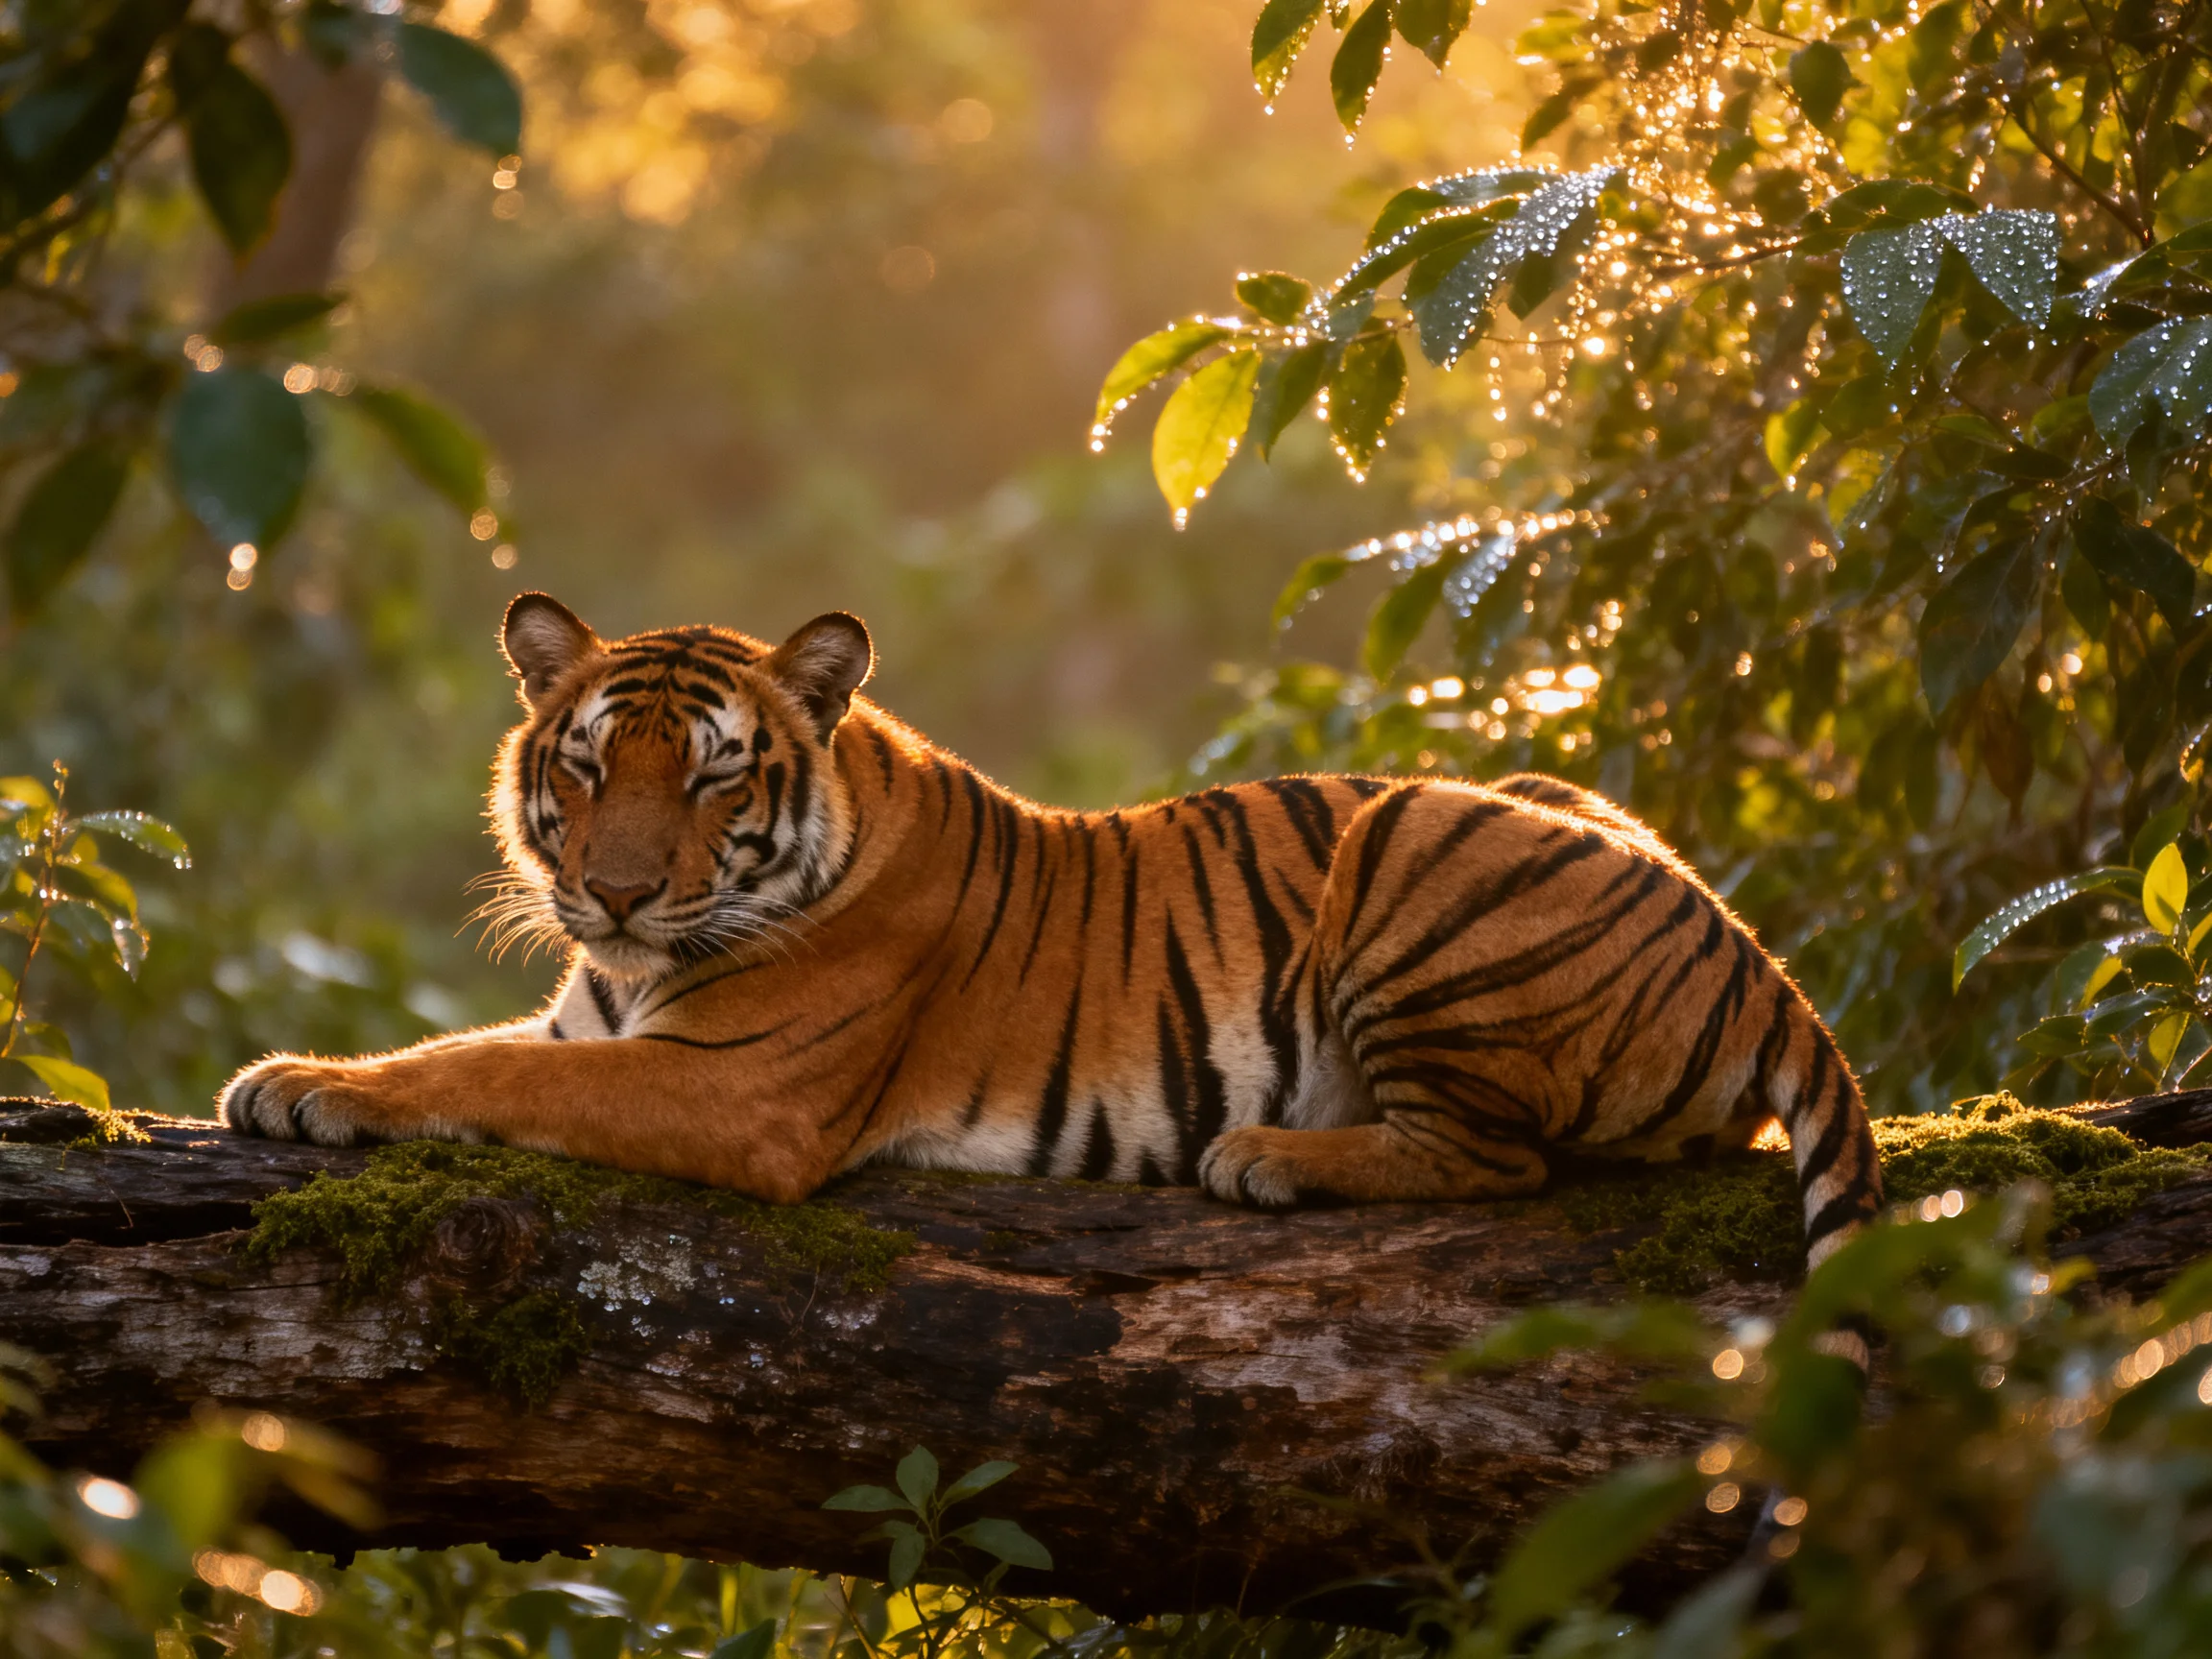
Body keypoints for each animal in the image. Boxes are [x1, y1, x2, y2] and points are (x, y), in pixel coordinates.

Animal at [221, 593, 1883, 1269]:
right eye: (584, 767)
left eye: (710, 775)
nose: (620, 894)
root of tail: (1762, 959)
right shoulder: (605, 1017)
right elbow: (471, 1043)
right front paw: (302, 1073)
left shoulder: (739, 1087)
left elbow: (491, 1074)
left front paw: (303, 1090)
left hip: (1416, 834)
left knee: (1499, 1158)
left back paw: (1268, 1157)